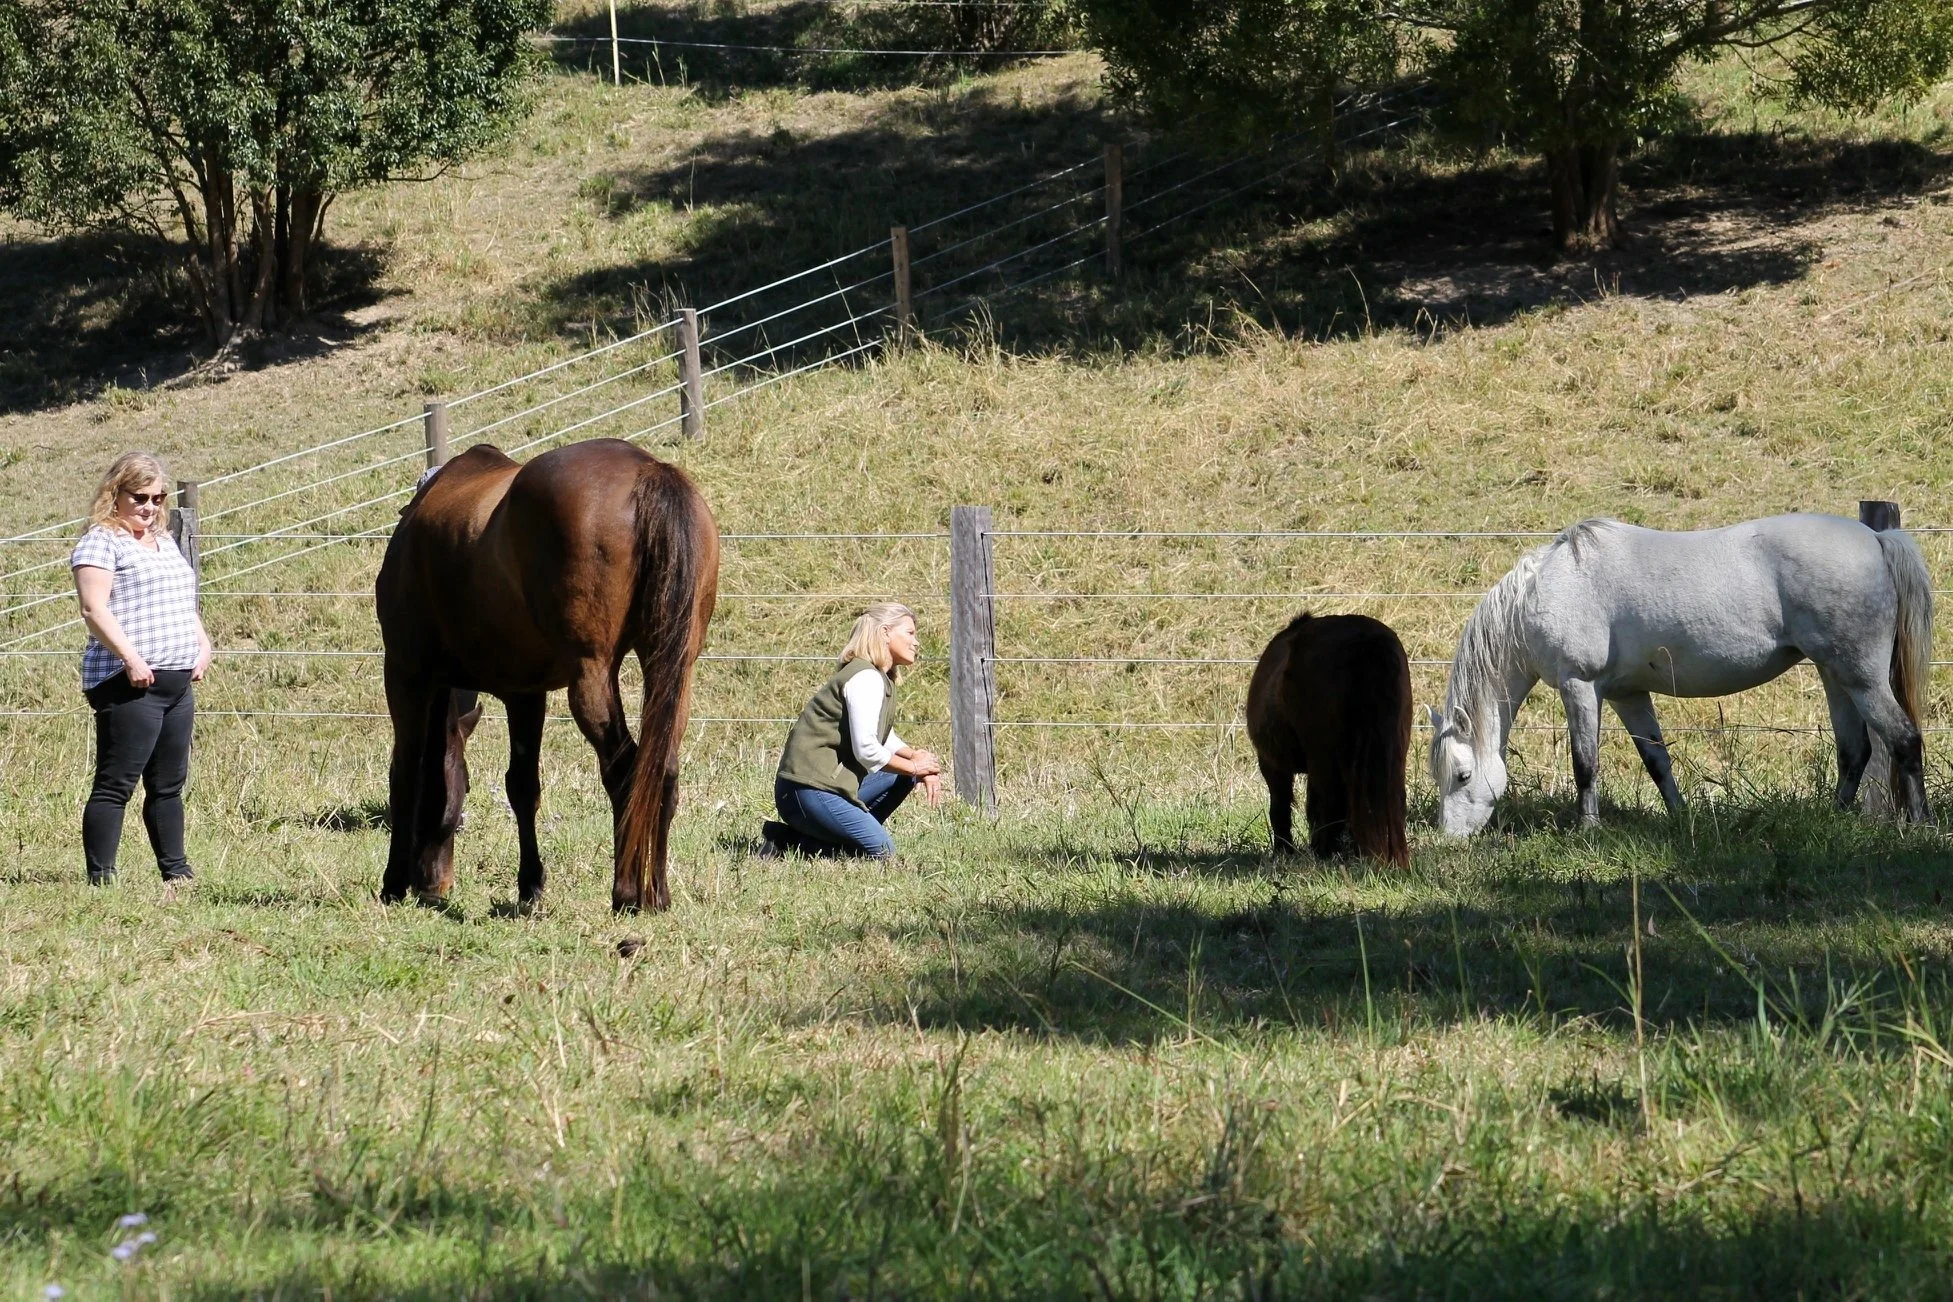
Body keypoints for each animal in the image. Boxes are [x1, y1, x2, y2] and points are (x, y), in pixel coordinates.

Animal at [375, 438, 719, 912]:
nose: (433, 883)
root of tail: (647, 469)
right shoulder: (524, 694)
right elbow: (522, 787)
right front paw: (530, 885)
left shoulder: (407, 673)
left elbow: (406, 772)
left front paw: (392, 883)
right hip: (674, 673)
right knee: (661, 772)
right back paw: (657, 893)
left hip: (591, 679)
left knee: (626, 773)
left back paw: (627, 893)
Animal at [1246, 612, 1413, 867]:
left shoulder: (1272, 764)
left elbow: (1281, 807)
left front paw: (1284, 851)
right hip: (1393, 751)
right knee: (1390, 799)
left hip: (1321, 757)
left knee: (1327, 800)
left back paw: (1325, 852)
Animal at [1428, 513, 1933, 837]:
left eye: (1463, 776)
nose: (1449, 839)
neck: (1548, 588)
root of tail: (1877, 538)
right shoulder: (1627, 694)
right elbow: (1656, 760)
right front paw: (1678, 816)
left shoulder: (1580, 686)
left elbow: (1585, 762)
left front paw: (1586, 829)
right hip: (1834, 675)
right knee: (1855, 751)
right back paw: (1834, 818)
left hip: (1862, 678)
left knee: (1904, 739)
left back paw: (1921, 824)